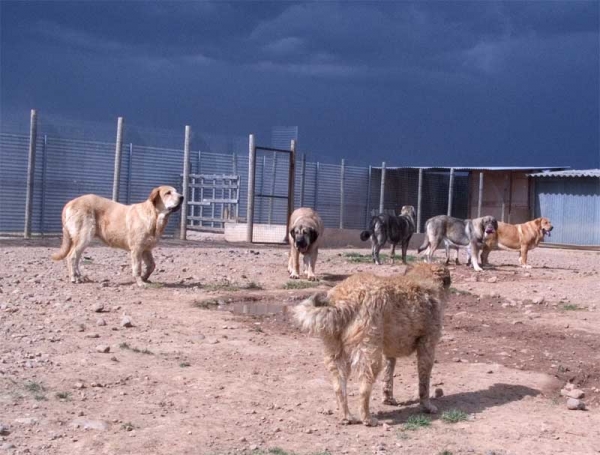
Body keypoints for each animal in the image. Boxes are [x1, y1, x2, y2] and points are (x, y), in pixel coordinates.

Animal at [51, 184, 183, 284]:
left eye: (176, 191)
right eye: (168, 193)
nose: (182, 197)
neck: (154, 217)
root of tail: (70, 202)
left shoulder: (146, 249)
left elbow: (152, 266)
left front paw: (145, 278)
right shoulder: (137, 249)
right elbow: (137, 268)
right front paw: (140, 282)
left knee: (76, 258)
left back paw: (79, 276)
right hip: (85, 236)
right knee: (71, 256)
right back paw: (74, 277)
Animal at [292, 264, 448, 428]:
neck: (422, 278)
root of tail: (343, 300)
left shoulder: (389, 352)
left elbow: (388, 377)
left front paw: (388, 399)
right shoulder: (427, 346)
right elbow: (424, 383)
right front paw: (427, 406)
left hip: (336, 353)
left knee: (339, 387)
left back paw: (347, 417)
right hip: (369, 354)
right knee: (364, 388)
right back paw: (367, 418)